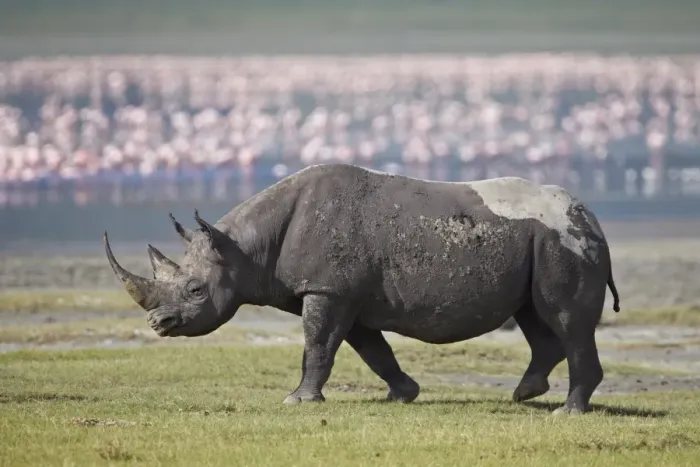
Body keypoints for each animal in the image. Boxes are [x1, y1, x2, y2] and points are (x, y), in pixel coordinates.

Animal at [104, 163, 621, 414]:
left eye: (195, 291)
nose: (158, 323)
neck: (245, 248)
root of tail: (592, 217)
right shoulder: (344, 293)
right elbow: (371, 350)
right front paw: (403, 395)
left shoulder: (329, 290)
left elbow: (318, 346)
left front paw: (297, 402)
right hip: (543, 242)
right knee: (534, 316)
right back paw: (525, 395)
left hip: (564, 242)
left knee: (567, 320)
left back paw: (567, 412)